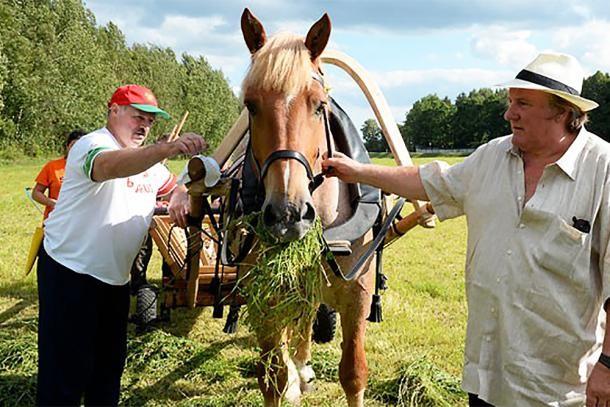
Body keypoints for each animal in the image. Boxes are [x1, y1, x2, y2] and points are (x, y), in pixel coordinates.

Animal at [238, 7, 376, 407]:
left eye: (319, 105)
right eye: (250, 105)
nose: (287, 215)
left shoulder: (357, 297)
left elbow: (353, 374)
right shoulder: (265, 299)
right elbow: (272, 378)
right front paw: (289, 379)